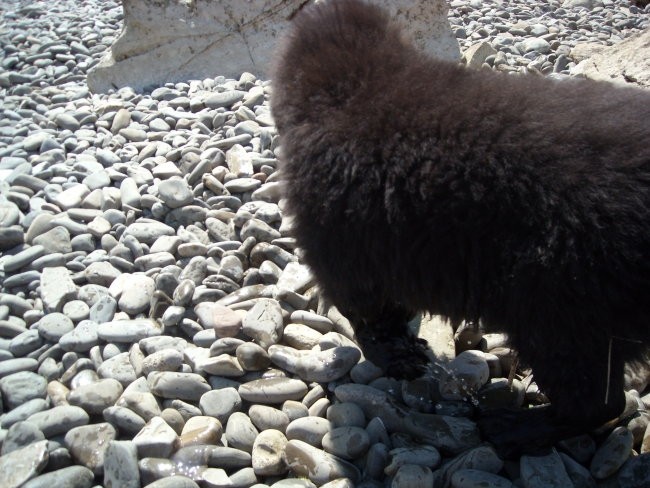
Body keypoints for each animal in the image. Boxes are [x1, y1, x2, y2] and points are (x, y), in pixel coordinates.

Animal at [270, 0, 648, 454]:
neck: (354, 83)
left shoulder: (342, 245)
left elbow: (368, 314)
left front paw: (396, 355)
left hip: (560, 310)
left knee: (596, 401)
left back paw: (512, 427)